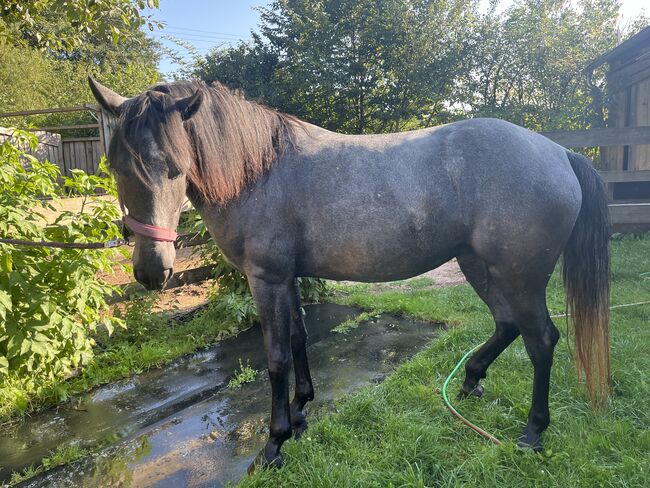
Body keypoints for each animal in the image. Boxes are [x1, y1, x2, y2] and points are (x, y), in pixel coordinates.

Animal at [87, 77, 608, 472]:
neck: (260, 171)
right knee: (507, 323)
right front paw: (301, 408)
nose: (152, 270)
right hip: (479, 265)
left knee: (541, 339)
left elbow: (275, 356)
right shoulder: (288, 279)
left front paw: (274, 443)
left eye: (173, 167)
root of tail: (558, 153)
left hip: (519, 276)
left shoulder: (266, 279)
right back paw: (471, 380)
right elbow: (298, 339)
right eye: (117, 166)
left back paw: (532, 432)